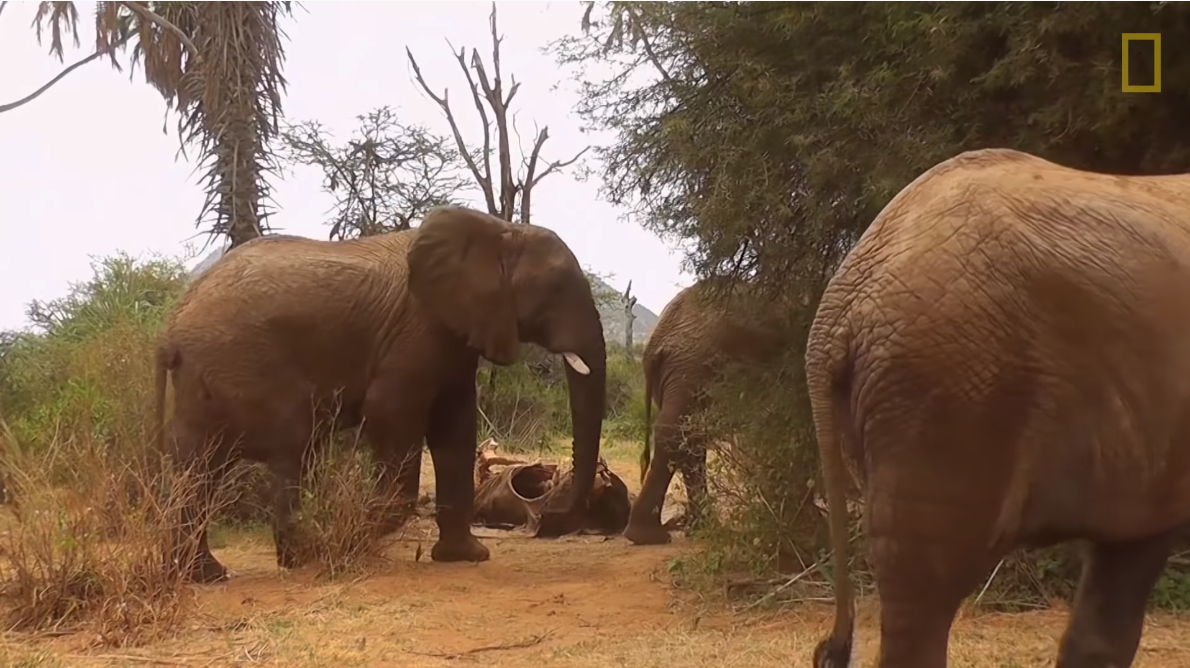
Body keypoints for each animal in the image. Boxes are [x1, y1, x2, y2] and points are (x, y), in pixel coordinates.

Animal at [153, 204, 609, 583]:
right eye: (556, 289)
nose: (550, 515)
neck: (499, 230)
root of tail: (170, 329)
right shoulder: (418, 329)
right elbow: (391, 411)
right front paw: (354, 536)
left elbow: (455, 429)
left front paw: (466, 557)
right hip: (243, 366)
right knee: (289, 446)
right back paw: (305, 554)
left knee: (198, 469)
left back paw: (208, 575)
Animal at [623, 278, 780, 545]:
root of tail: (655, 340)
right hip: (690, 368)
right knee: (679, 434)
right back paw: (651, 535)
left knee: (690, 438)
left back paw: (702, 527)